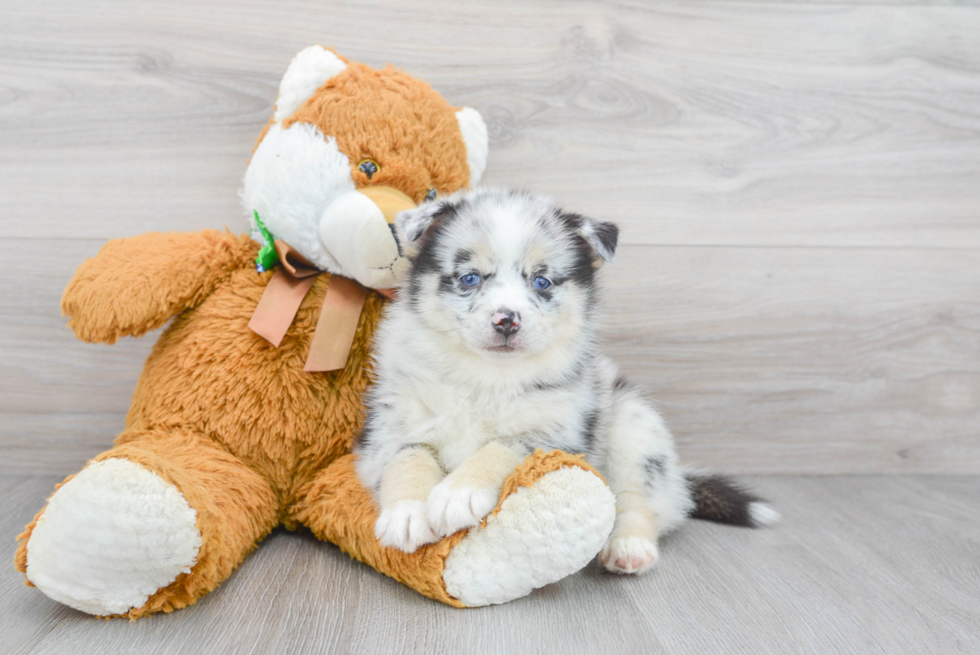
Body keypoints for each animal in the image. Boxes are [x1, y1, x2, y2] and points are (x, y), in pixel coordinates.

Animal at [356, 187, 776, 572]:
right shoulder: (387, 429)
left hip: (636, 429)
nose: (506, 320)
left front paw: (459, 493)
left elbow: (501, 445)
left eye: (542, 282)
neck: (487, 377)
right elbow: (408, 457)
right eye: (469, 278)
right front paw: (406, 514)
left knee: (643, 502)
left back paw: (628, 546)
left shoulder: (556, 435)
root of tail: (678, 479)